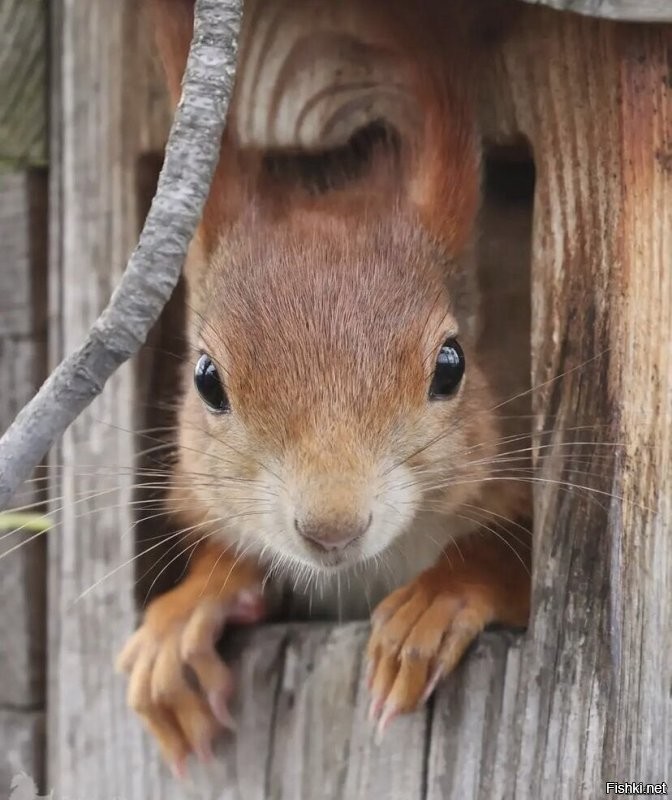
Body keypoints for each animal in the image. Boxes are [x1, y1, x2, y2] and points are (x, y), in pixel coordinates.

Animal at [118, 0, 532, 776]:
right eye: (207, 380)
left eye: (452, 365)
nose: (332, 527)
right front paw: (185, 618)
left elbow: (517, 561)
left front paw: (440, 598)